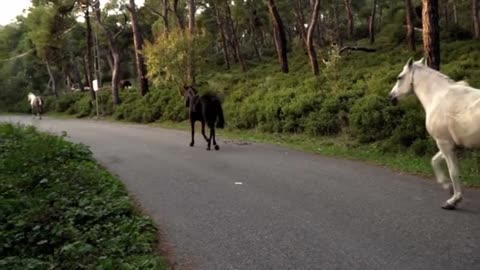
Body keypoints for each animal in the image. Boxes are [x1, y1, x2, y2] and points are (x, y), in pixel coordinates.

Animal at [390, 56, 480, 209]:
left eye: (399, 77)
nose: (392, 97)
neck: (437, 97)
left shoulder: (444, 143)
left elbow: (453, 172)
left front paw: (453, 200)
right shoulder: (451, 144)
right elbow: (435, 161)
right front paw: (447, 186)